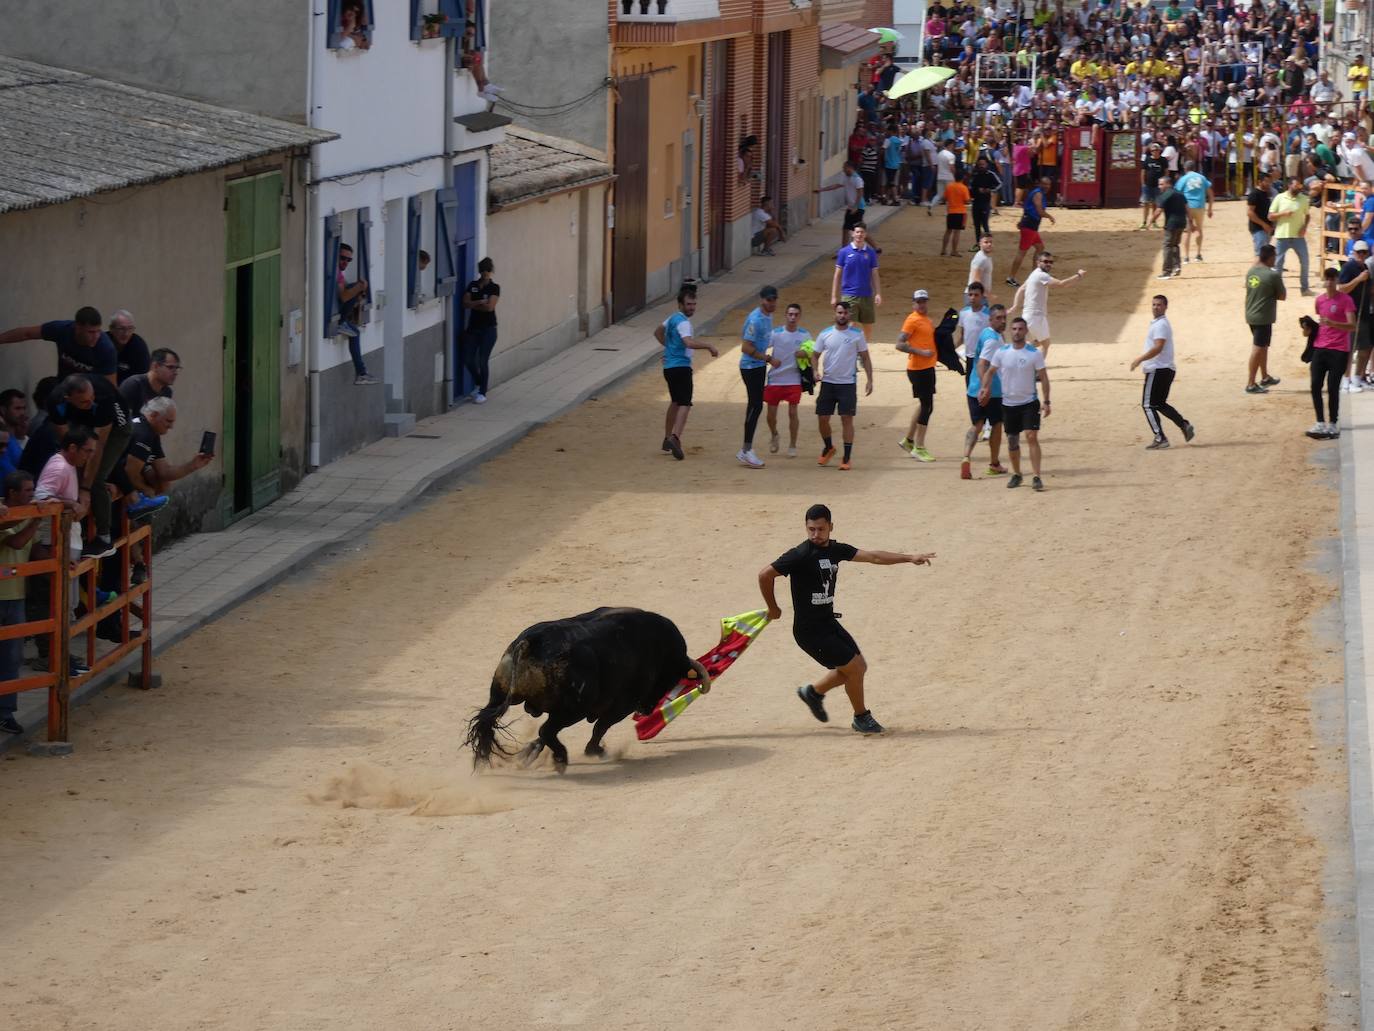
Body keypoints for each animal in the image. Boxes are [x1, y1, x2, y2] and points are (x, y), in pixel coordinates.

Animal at [467, 610, 714, 769]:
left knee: (498, 723)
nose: (646, 709)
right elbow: (600, 728)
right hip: (572, 710)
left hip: (499, 694)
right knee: (548, 730)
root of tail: (530, 642)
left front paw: (528, 753)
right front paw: (595, 751)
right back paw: (561, 759)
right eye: (669, 680)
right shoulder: (620, 707)